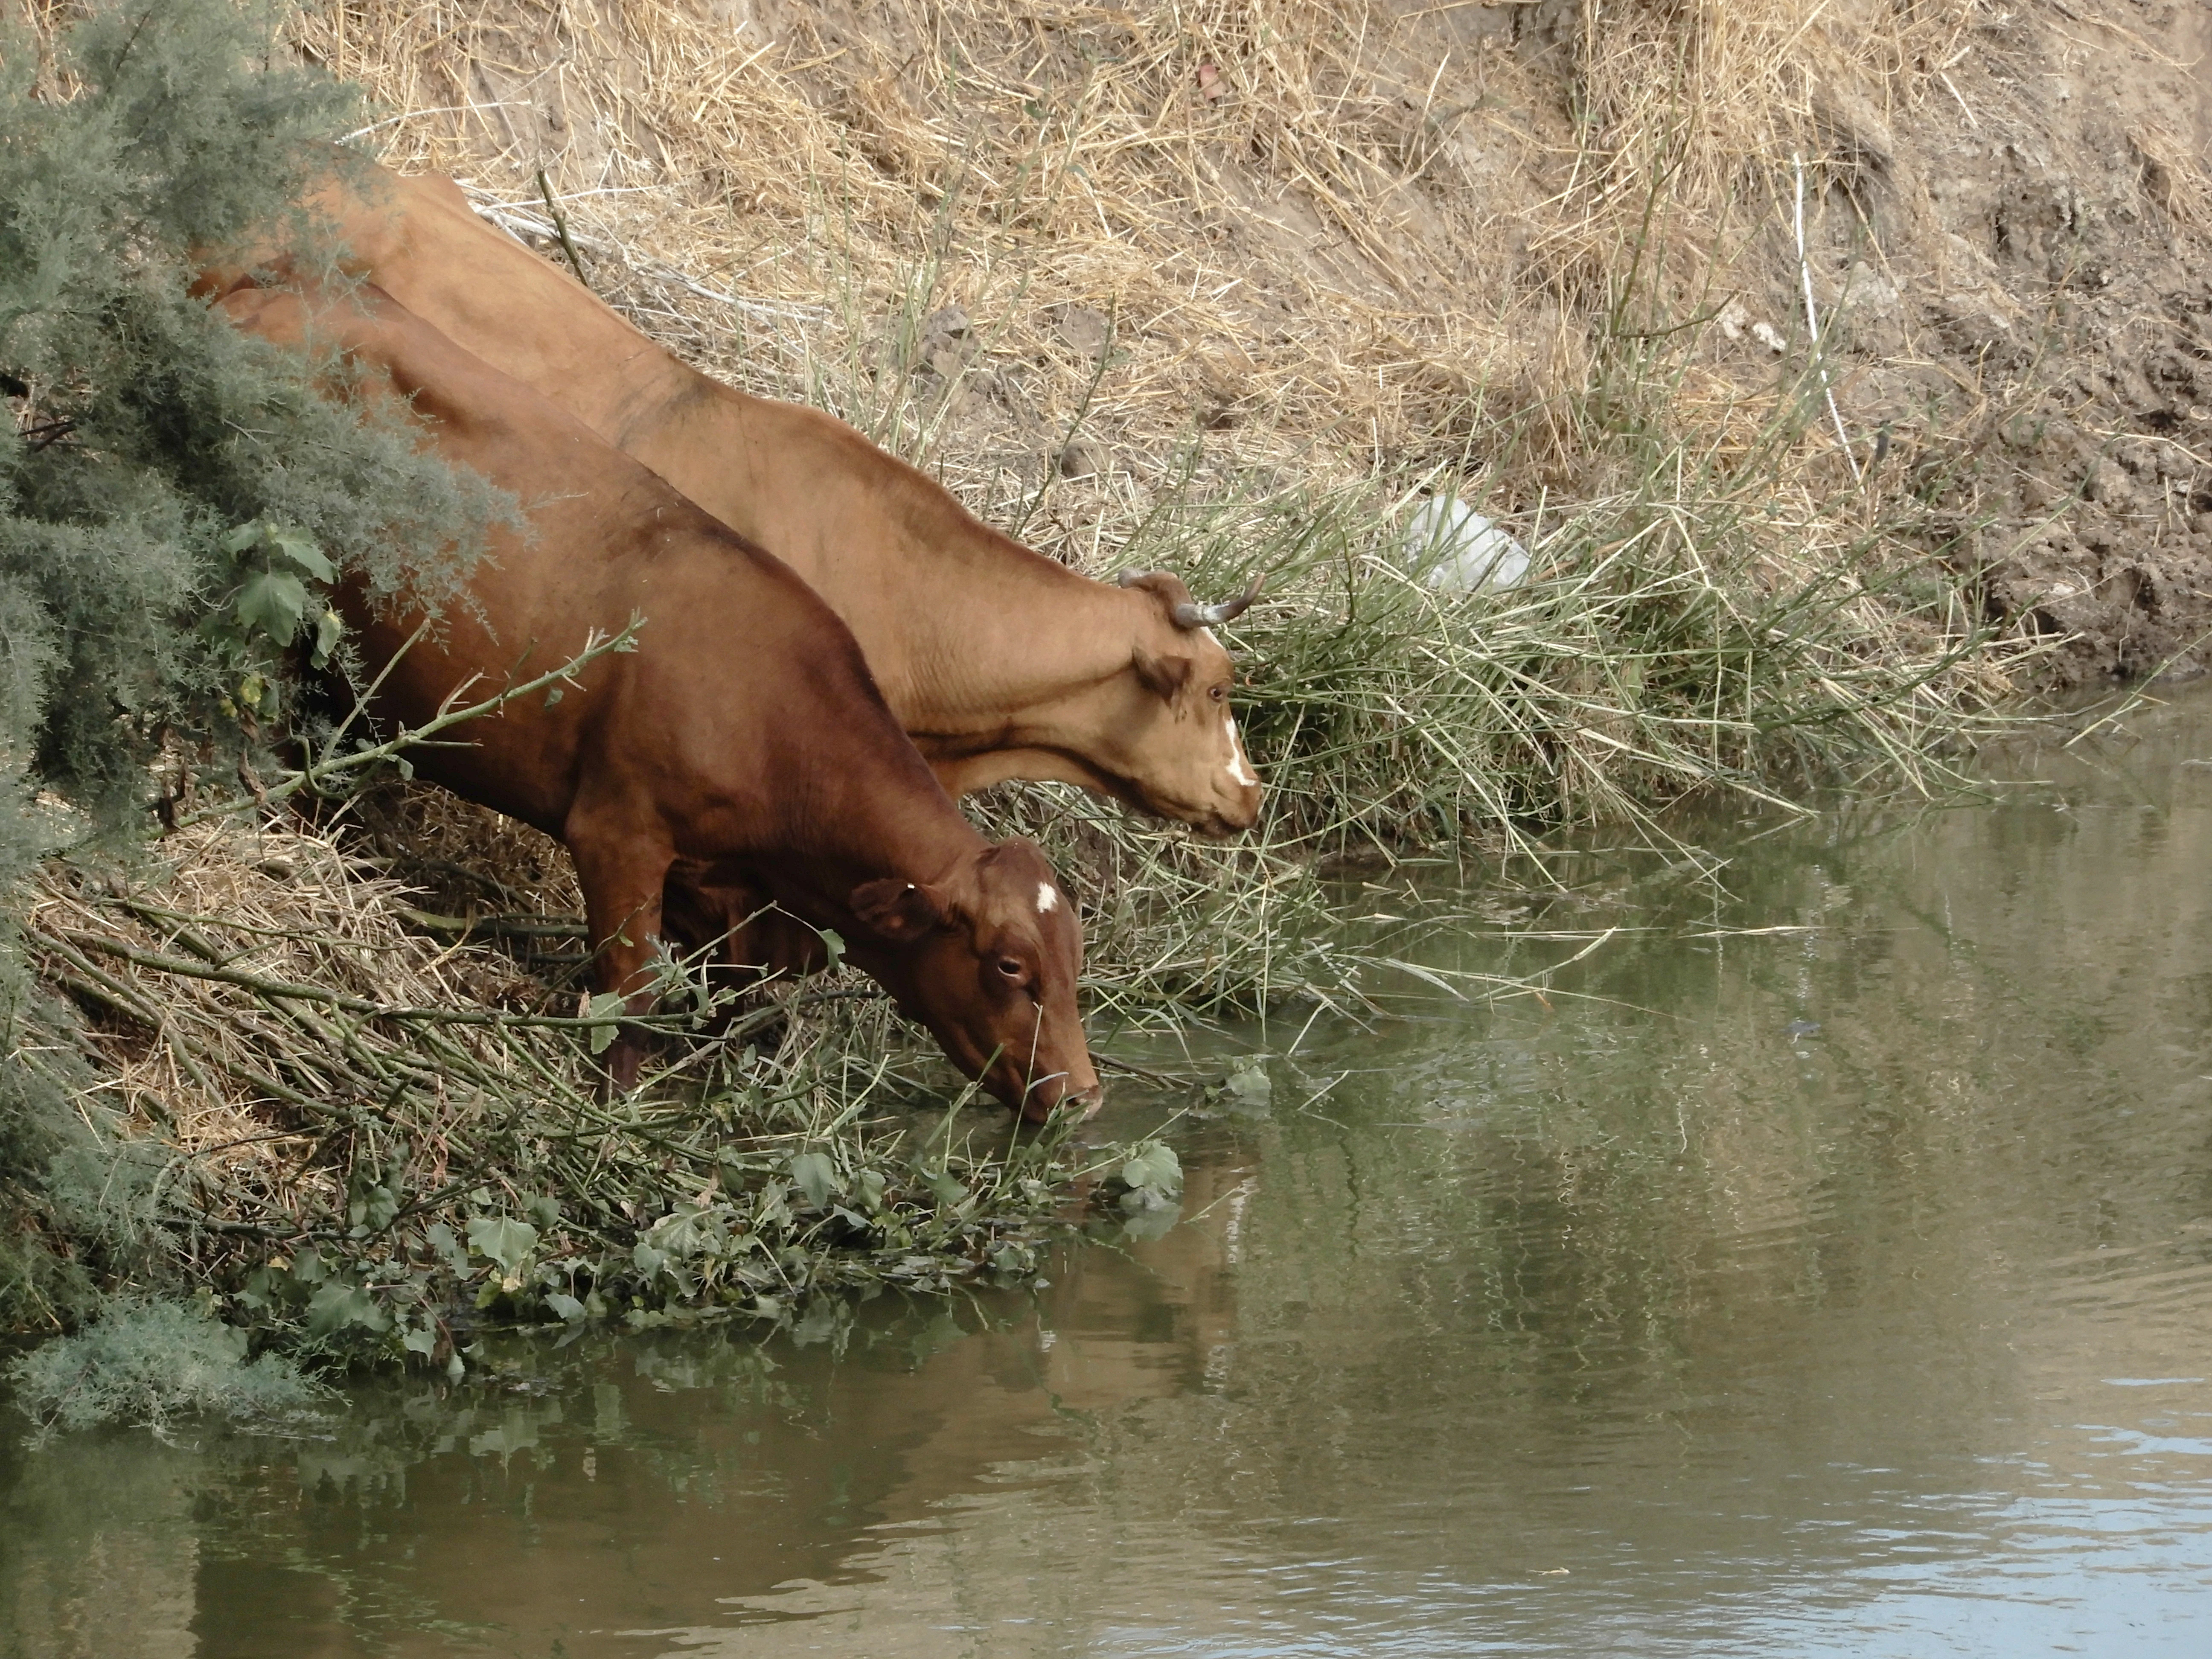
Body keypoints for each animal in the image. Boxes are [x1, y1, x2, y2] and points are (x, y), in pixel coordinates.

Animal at [216, 278, 1100, 1122]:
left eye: (1075, 958)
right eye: (1010, 963)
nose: (1083, 1096)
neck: (777, 726)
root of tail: (273, 293)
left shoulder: (725, 899)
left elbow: (734, 1011)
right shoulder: (618, 833)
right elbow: (631, 1002)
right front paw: (613, 1119)